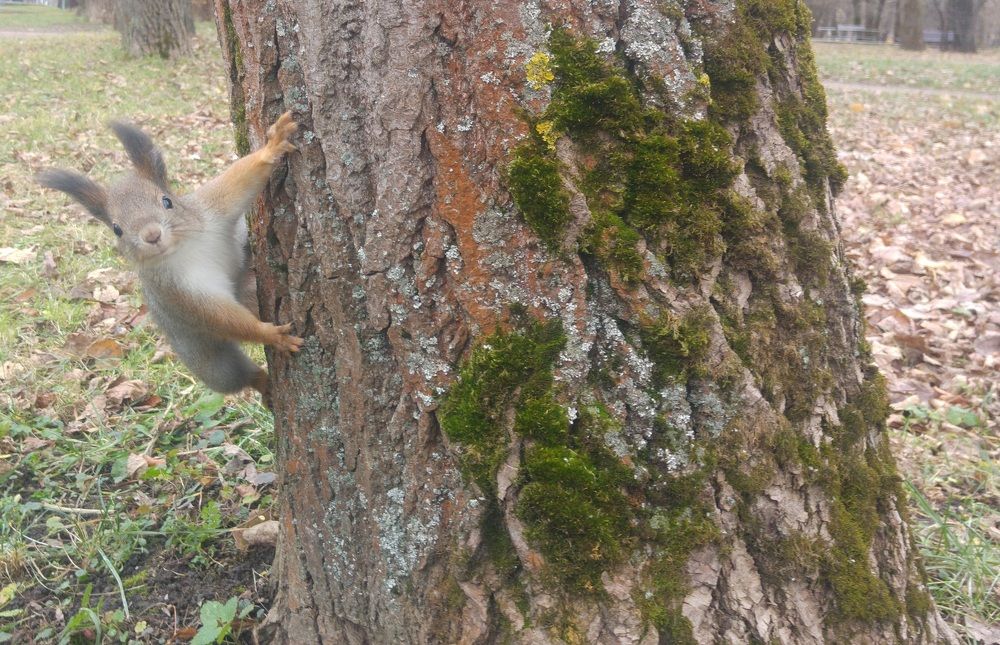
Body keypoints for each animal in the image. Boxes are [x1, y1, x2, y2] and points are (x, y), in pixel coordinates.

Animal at [37, 111, 304, 398]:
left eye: (167, 201)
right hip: (206, 358)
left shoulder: (210, 208)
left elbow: (239, 181)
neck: (183, 247)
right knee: (232, 375)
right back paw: (263, 384)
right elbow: (219, 316)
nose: (152, 235)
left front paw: (273, 144)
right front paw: (273, 335)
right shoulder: (173, 291)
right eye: (117, 229)